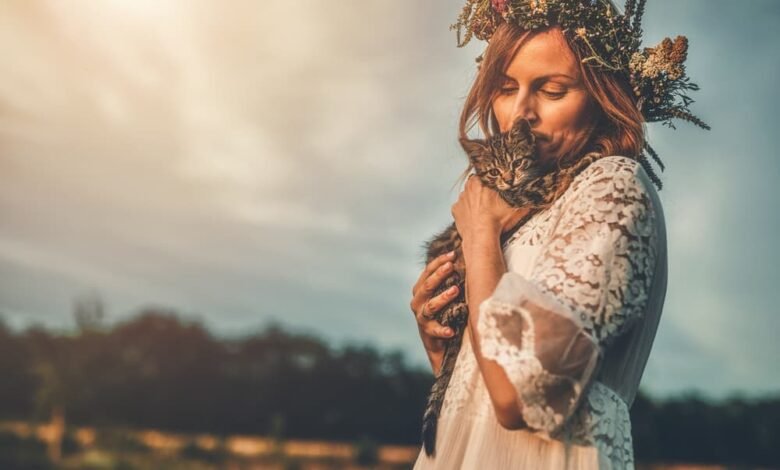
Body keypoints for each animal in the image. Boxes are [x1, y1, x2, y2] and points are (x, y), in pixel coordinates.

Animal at [420, 116, 604, 456]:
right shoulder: (525, 194)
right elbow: (554, 177)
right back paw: (458, 309)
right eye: (494, 171)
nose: (508, 179)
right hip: (450, 271)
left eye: (517, 162)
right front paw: (584, 159)